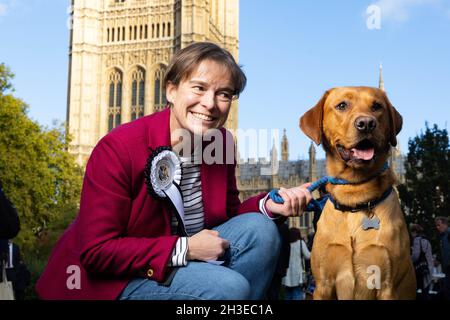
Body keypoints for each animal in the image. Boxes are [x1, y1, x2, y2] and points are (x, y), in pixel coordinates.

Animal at [300, 86, 416, 298]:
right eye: (342, 105)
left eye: (377, 106)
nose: (367, 124)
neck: (355, 197)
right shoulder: (323, 284)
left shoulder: (387, 285)